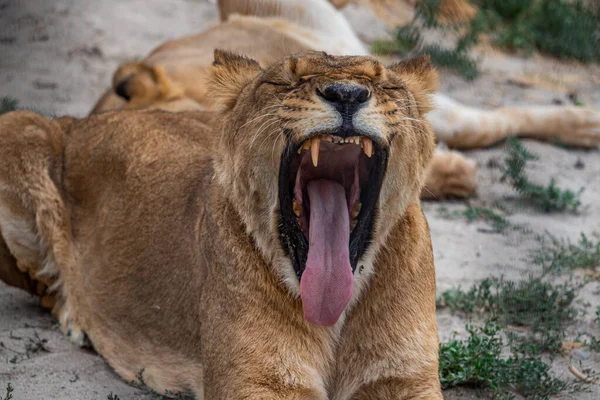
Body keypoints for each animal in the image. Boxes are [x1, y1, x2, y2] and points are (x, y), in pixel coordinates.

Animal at [0, 49, 440, 396]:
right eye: (284, 80)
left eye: (386, 85)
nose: (346, 93)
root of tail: (78, 120)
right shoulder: (254, 382)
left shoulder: (405, 379)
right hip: (19, 125)